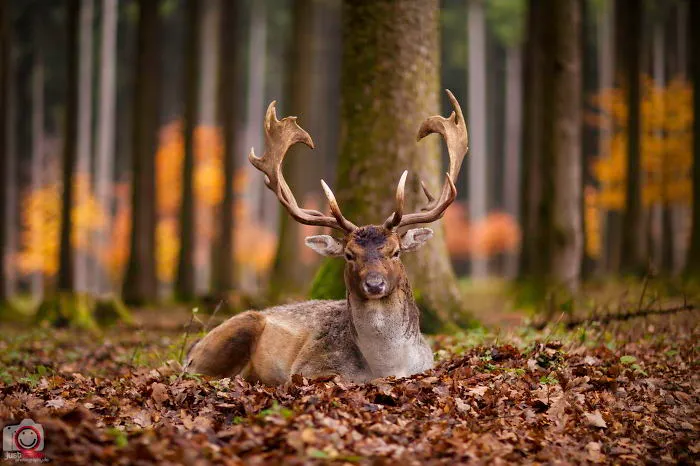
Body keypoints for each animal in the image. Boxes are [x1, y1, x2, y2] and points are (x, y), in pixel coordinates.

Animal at [185, 90, 468, 384]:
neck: (386, 367)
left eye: (396, 251)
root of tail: (192, 349)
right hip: (238, 328)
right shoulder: (308, 368)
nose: (374, 284)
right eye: (349, 255)